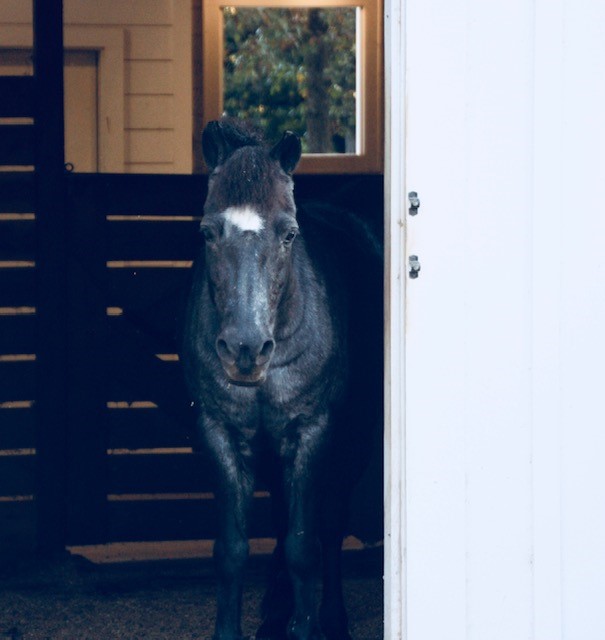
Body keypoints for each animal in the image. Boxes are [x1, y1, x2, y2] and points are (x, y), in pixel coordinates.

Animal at [182, 120, 382, 640]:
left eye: (290, 234)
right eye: (207, 232)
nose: (245, 348)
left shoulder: (311, 432)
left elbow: (304, 545)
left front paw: (309, 624)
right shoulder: (221, 433)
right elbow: (232, 551)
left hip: (353, 439)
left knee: (330, 523)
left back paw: (330, 617)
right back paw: (275, 610)